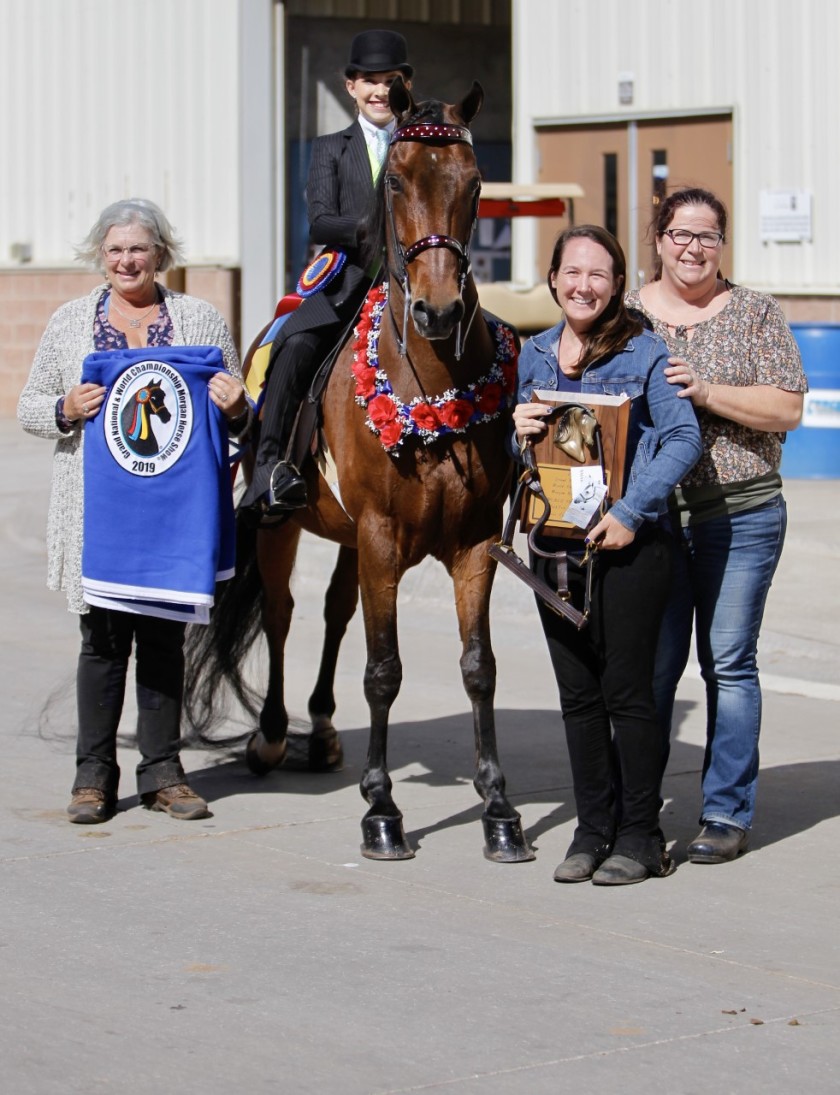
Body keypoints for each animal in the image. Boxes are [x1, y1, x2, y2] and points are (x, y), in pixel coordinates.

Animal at [188, 79, 532, 862]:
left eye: (475, 183)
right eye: (396, 180)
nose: (438, 310)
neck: (431, 386)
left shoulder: (472, 545)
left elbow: (479, 668)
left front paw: (499, 808)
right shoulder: (380, 536)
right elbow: (384, 671)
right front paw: (382, 810)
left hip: (350, 539)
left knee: (334, 613)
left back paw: (319, 729)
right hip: (284, 526)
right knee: (282, 613)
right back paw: (273, 736)